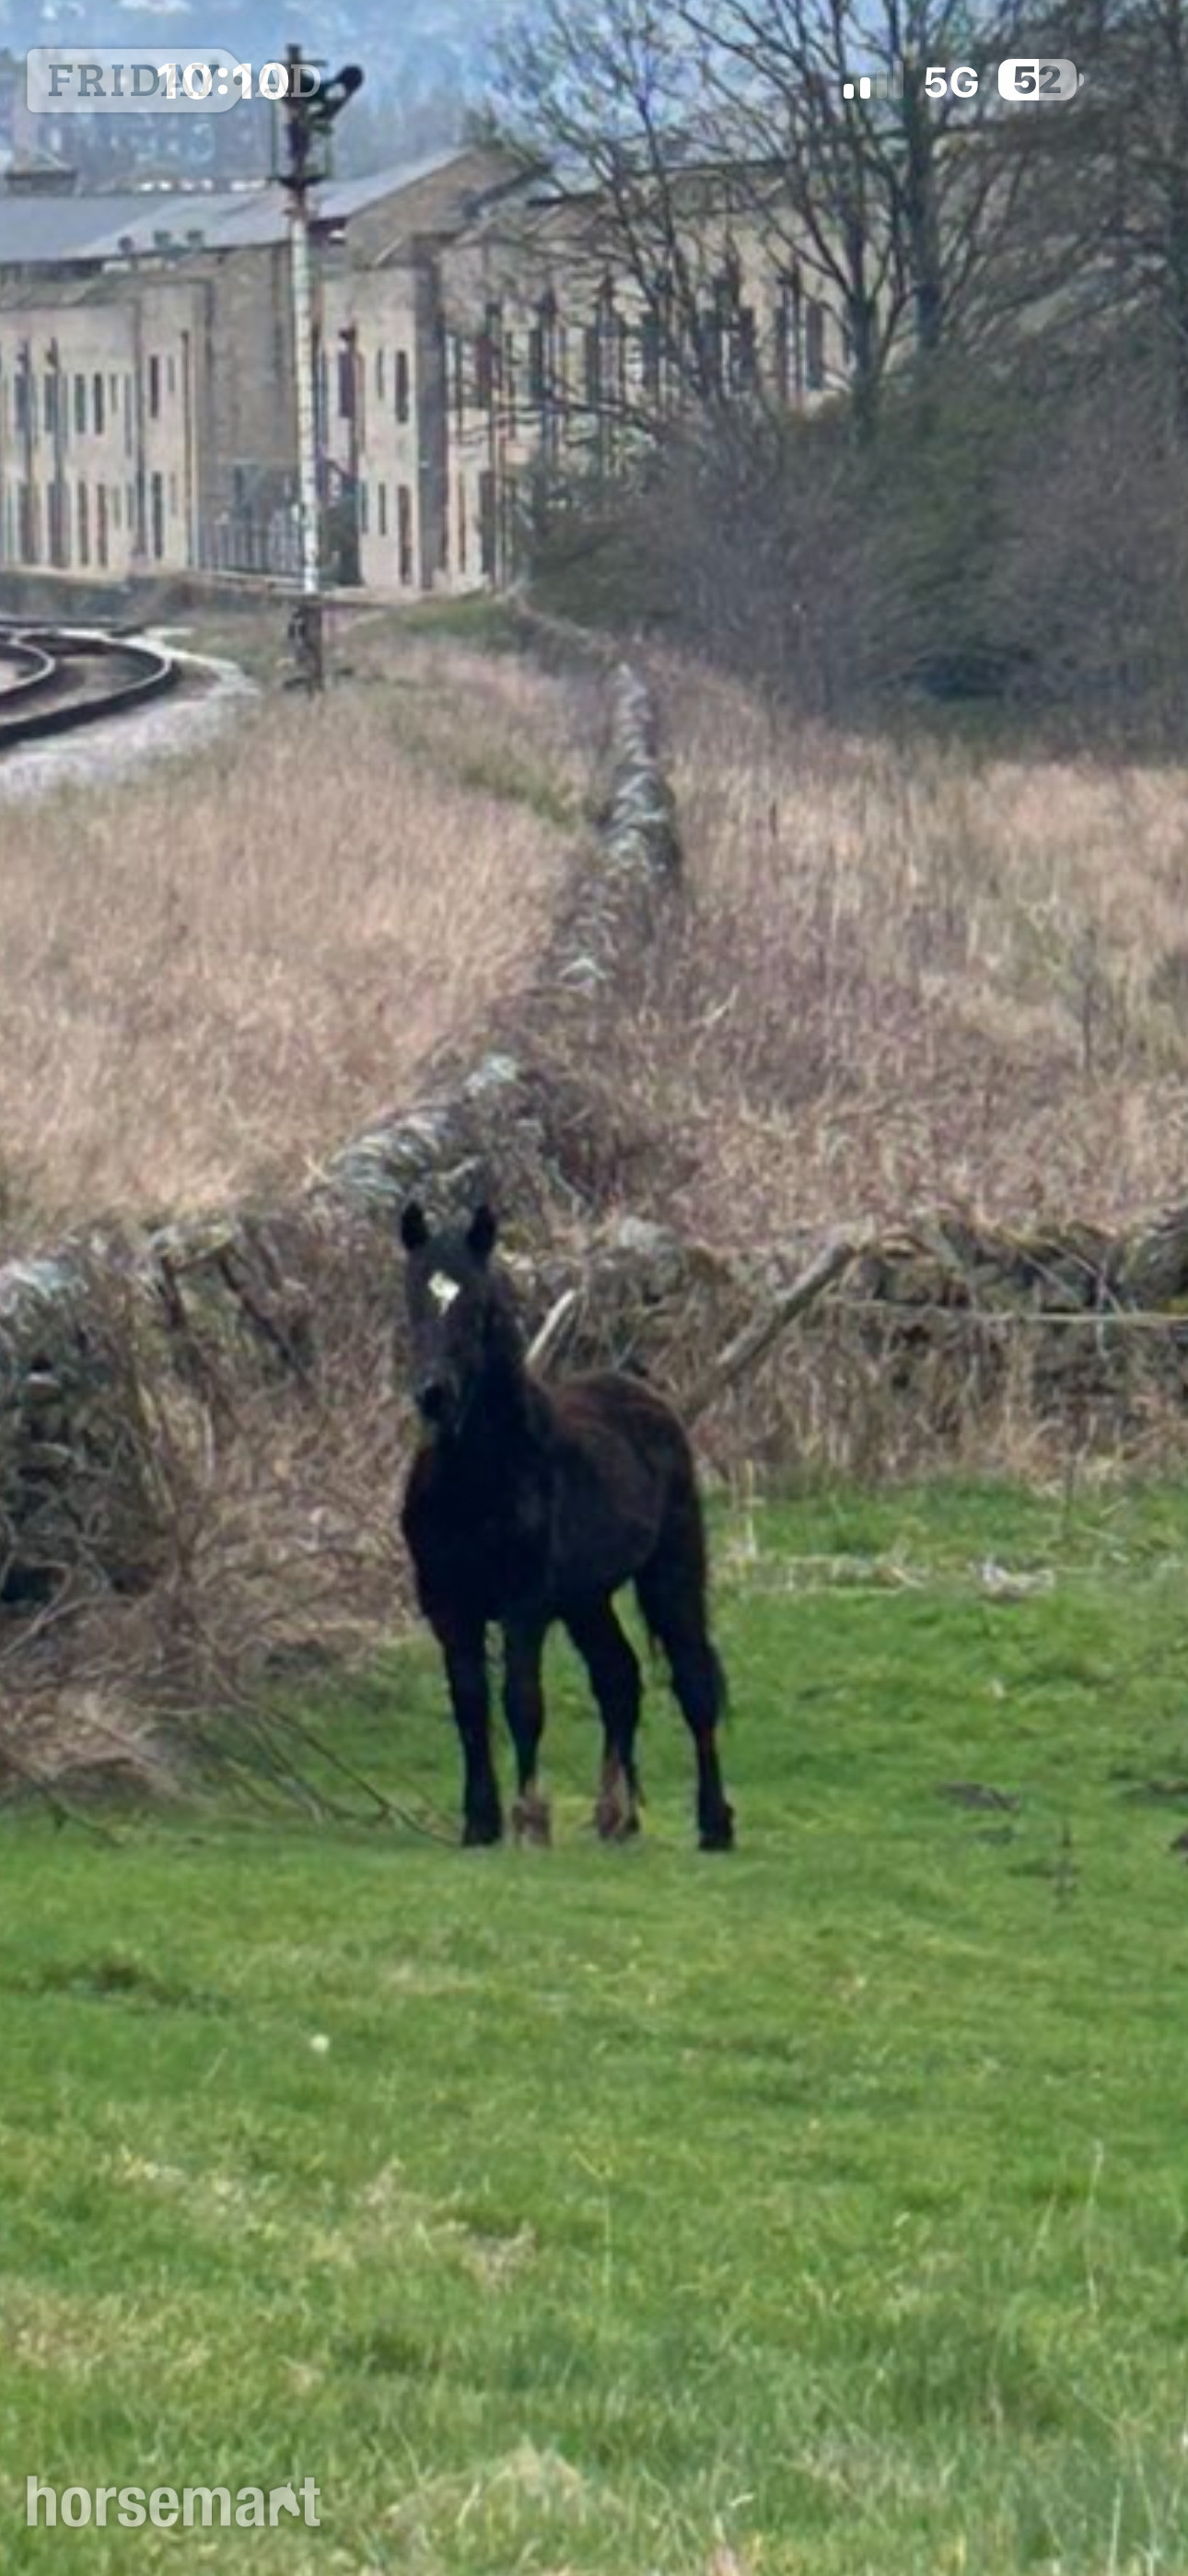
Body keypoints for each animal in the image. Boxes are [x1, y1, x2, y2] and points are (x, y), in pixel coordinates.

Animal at [398, 1200, 735, 1853]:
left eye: (478, 1306)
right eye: (411, 1298)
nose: (434, 1394)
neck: (476, 1478)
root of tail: (648, 1399)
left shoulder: (524, 1604)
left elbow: (522, 1702)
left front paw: (531, 1818)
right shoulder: (448, 1605)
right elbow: (470, 1705)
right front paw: (481, 1822)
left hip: (671, 1572)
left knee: (693, 1683)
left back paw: (715, 1824)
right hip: (586, 1600)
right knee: (619, 1679)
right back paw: (617, 1815)